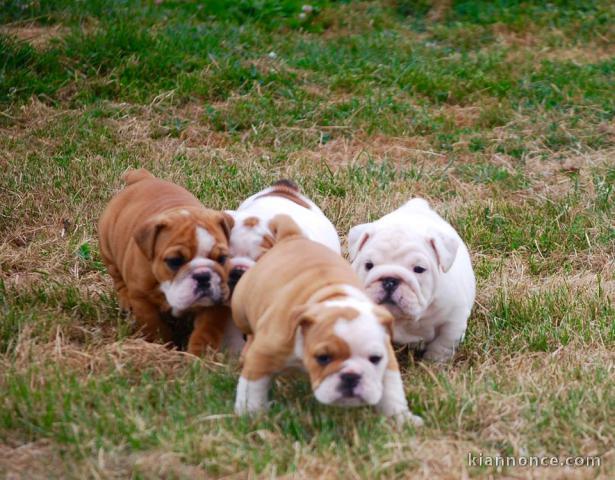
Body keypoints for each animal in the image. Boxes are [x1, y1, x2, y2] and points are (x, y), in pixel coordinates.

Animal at [98, 170, 236, 356]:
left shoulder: (215, 302)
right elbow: (155, 325)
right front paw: (162, 348)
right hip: (108, 249)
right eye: (174, 261)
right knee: (118, 278)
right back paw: (126, 301)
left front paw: (198, 355)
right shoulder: (142, 299)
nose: (203, 276)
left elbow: (205, 330)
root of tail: (142, 177)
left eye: (222, 258)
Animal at [231, 216, 424, 426]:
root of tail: (292, 236)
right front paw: (250, 415)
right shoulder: (264, 354)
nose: (351, 376)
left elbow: (392, 391)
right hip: (240, 309)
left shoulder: (387, 358)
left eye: (375, 359)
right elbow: (252, 388)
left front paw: (402, 418)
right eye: (323, 358)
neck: (334, 298)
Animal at [346, 197, 476, 362]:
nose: (390, 280)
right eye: (368, 265)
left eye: (419, 269)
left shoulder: (453, 320)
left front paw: (434, 363)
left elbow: (442, 344)